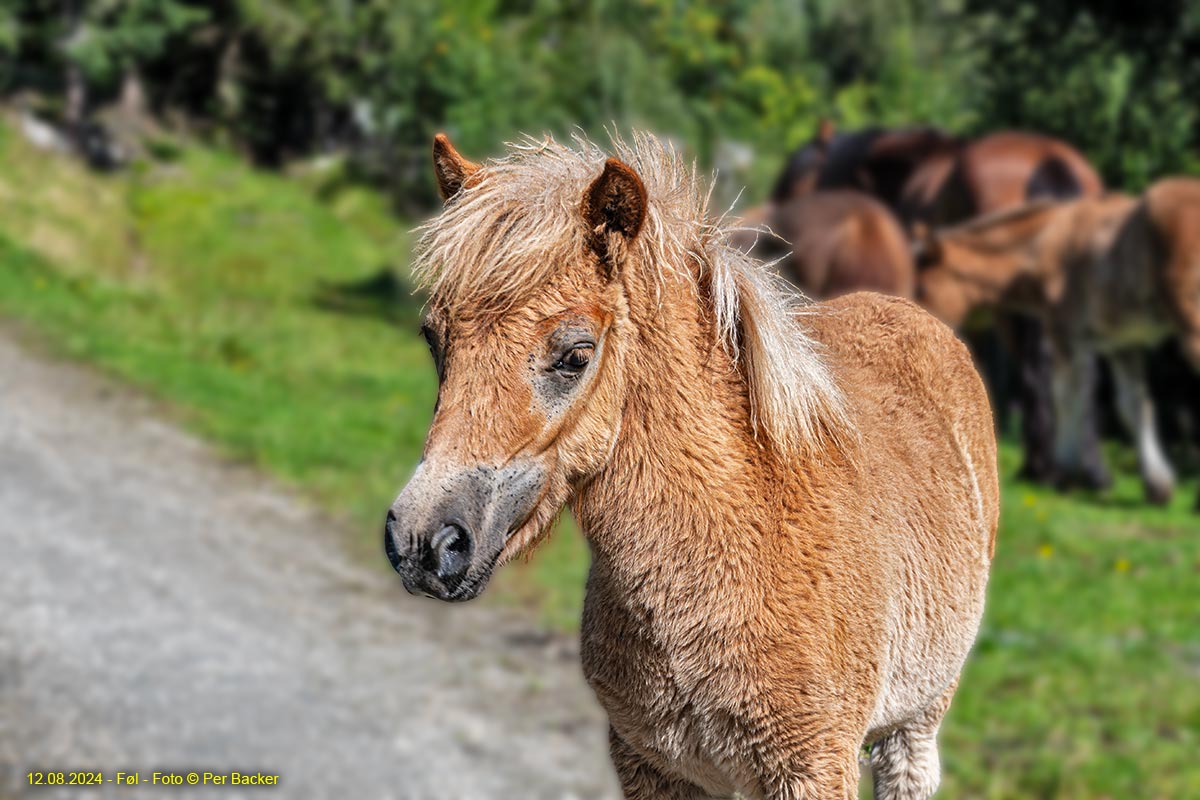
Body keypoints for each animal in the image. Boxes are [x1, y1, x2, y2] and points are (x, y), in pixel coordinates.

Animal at [916, 178, 1200, 510]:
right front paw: (1157, 485)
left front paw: (1063, 472)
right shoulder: (1122, 344)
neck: (1046, 240)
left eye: (922, 287)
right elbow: (1134, 405)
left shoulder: (1064, 331)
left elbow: (1065, 395)